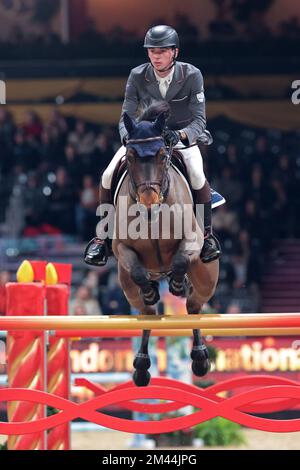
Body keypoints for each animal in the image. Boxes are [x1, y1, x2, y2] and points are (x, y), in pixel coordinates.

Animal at [110, 105, 218, 386]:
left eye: (161, 155)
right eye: (130, 157)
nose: (149, 199)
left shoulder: (191, 239)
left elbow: (180, 260)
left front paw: (177, 284)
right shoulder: (122, 249)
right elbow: (138, 272)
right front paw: (150, 291)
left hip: (206, 278)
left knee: (193, 306)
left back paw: (200, 359)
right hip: (126, 286)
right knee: (147, 313)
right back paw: (141, 367)